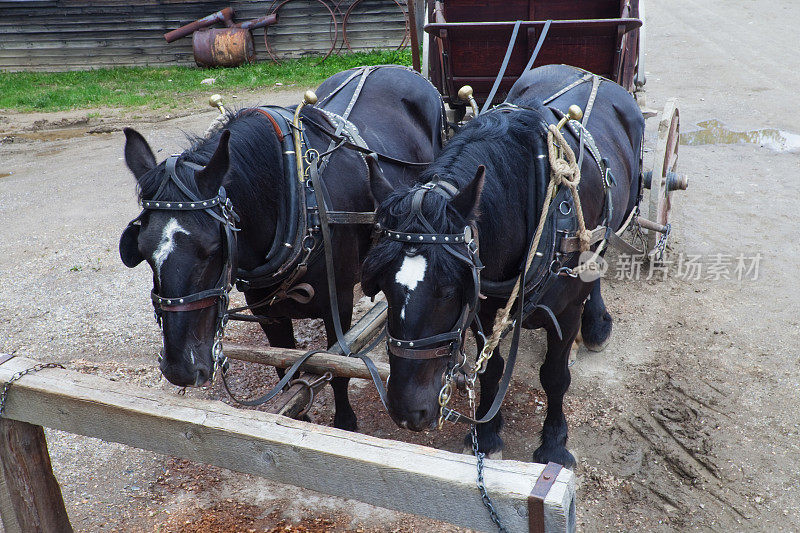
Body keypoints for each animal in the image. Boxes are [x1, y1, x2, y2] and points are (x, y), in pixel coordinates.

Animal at [120, 66, 444, 430]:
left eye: (213, 248)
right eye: (143, 250)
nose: (179, 368)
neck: (297, 192)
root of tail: (393, 68)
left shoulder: (339, 300)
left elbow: (336, 368)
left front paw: (345, 421)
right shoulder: (267, 310)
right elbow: (282, 366)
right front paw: (297, 412)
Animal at [362, 64, 644, 464]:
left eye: (448, 291)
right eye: (385, 286)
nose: (406, 411)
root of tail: (586, 73)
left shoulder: (566, 309)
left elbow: (554, 376)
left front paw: (554, 443)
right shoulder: (483, 309)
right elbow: (491, 370)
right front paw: (487, 431)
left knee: (597, 262)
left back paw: (594, 325)